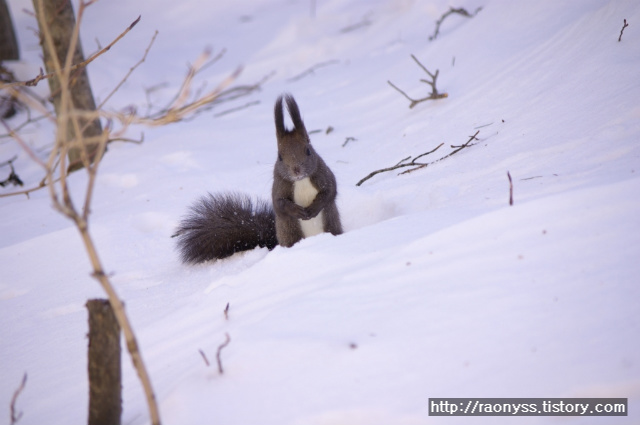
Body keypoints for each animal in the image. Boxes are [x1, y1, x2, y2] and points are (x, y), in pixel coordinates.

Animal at [172, 94, 342, 264]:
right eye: (280, 157)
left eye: (308, 150)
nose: (296, 170)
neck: (300, 181)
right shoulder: (279, 185)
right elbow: (279, 203)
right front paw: (297, 210)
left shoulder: (323, 174)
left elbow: (330, 191)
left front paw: (313, 207)